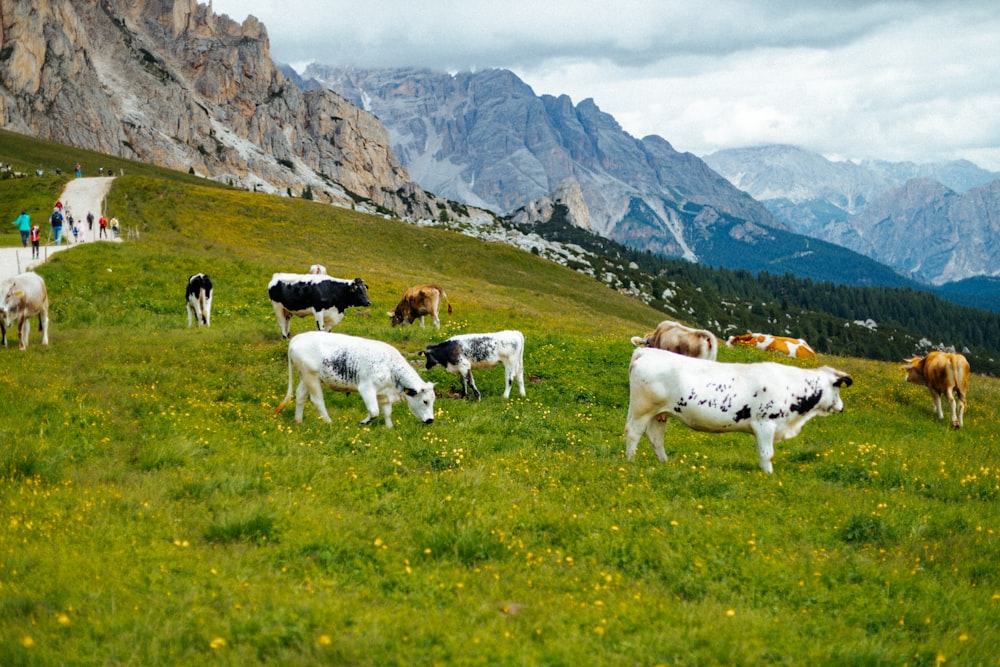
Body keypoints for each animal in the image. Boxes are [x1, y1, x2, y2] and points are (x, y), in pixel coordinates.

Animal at [276, 332, 436, 430]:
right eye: (425, 401)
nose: (431, 420)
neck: (390, 366)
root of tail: (297, 338)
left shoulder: (384, 393)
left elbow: (387, 412)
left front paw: (389, 428)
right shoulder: (366, 388)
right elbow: (374, 411)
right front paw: (363, 422)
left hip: (307, 377)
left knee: (300, 395)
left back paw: (298, 421)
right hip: (311, 377)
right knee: (317, 400)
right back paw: (329, 422)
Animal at [624, 348, 852, 472]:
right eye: (838, 388)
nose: (841, 408)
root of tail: (645, 351)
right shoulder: (765, 423)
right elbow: (767, 453)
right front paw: (768, 475)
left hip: (659, 413)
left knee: (655, 437)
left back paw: (665, 463)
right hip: (643, 408)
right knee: (633, 433)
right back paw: (630, 462)